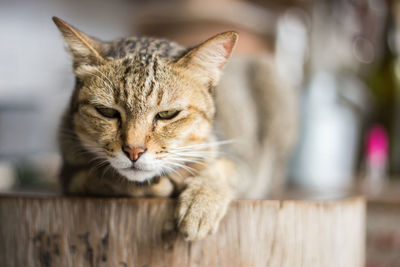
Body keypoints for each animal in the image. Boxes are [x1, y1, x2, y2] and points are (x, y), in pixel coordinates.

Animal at [52, 17, 241, 243]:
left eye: (168, 113)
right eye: (106, 111)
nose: (134, 151)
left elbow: (222, 168)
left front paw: (201, 201)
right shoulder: (68, 173)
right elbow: (99, 177)